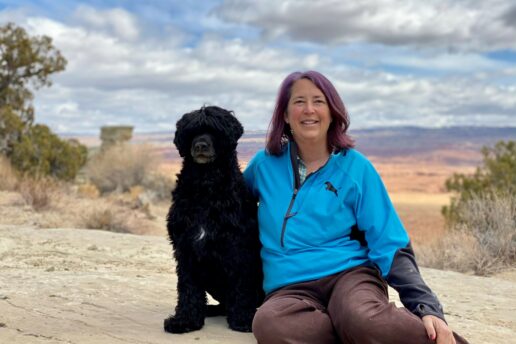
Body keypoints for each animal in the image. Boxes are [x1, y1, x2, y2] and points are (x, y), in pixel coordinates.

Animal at [164, 105, 264, 334]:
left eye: (215, 130)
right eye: (192, 131)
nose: (200, 145)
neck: (206, 186)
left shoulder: (238, 247)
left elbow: (241, 287)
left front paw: (243, 319)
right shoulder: (185, 247)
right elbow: (188, 288)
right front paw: (185, 320)